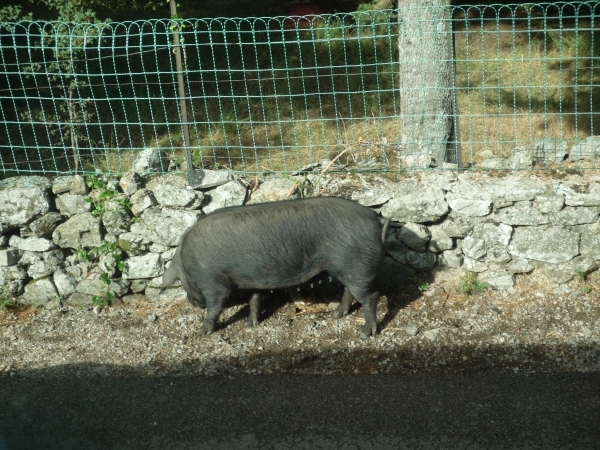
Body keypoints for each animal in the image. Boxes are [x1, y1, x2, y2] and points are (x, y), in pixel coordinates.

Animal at [163, 197, 390, 338]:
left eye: (181, 282)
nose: (192, 302)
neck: (187, 263)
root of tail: (377, 219)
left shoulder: (213, 282)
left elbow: (215, 306)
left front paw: (201, 332)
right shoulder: (252, 279)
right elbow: (254, 299)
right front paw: (249, 324)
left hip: (357, 267)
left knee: (371, 297)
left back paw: (364, 334)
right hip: (349, 269)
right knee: (350, 292)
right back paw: (336, 315)